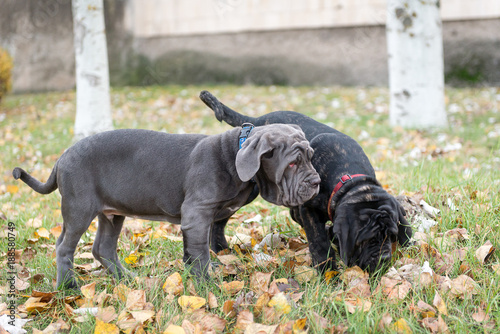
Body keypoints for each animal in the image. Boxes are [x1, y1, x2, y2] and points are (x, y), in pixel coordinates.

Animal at [15, 125, 322, 290]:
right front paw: (206, 285)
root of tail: (62, 157)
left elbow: (197, 248)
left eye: (310, 156)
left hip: (113, 213)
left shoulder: (202, 218)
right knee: (64, 247)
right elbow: (200, 252)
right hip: (79, 208)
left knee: (102, 248)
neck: (235, 152)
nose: (317, 182)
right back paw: (68, 287)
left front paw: (195, 276)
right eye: (292, 163)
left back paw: (127, 279)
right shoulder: (197, 213)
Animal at [200, 90, 414, 272]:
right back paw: (220, 248)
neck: (347, 178)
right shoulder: (309, 209)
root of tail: (256, 122)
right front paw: (328, 271)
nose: (384, 258)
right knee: (219, 220)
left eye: (391, 235)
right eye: (367, 239)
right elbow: (319, 241)